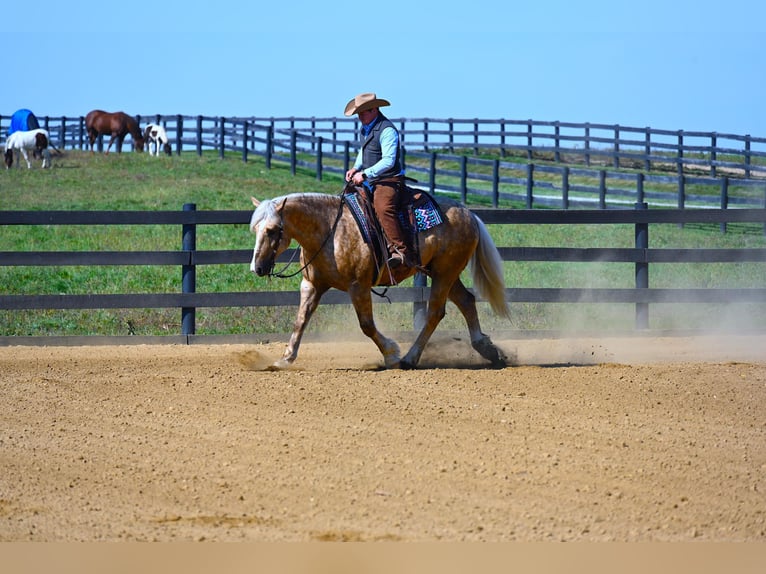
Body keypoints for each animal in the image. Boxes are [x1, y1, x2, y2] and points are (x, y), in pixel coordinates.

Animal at [249, 191, 512, 372]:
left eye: (272, 230)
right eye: (255, 230)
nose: (257, 268)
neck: (330, 231)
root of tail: (470, 214)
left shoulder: (358, 286)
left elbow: (366, 325)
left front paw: (391, 354)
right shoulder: (311, 285)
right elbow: (300, 321)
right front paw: (285, 359)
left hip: (444, 274)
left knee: (435, 313)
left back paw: (409, 358)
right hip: (442, 273)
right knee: (466, 301)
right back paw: (488, 349)